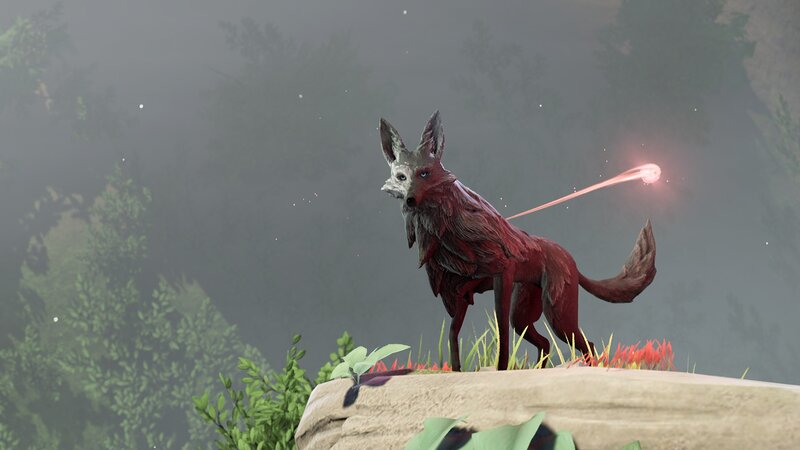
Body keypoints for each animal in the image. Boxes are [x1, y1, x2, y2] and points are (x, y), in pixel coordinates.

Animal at [379, 110, 657, 371]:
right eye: (402, 177)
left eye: (424, 174)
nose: (410, 201)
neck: (447, 232)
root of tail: (571, 260)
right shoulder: (460, 291)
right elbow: (452, 334)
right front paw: (457, 372)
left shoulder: (502, 275)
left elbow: (501, 336)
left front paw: (500, 371)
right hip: (523, 315)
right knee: (545, 343)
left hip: (557, 314)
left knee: (586, 343)